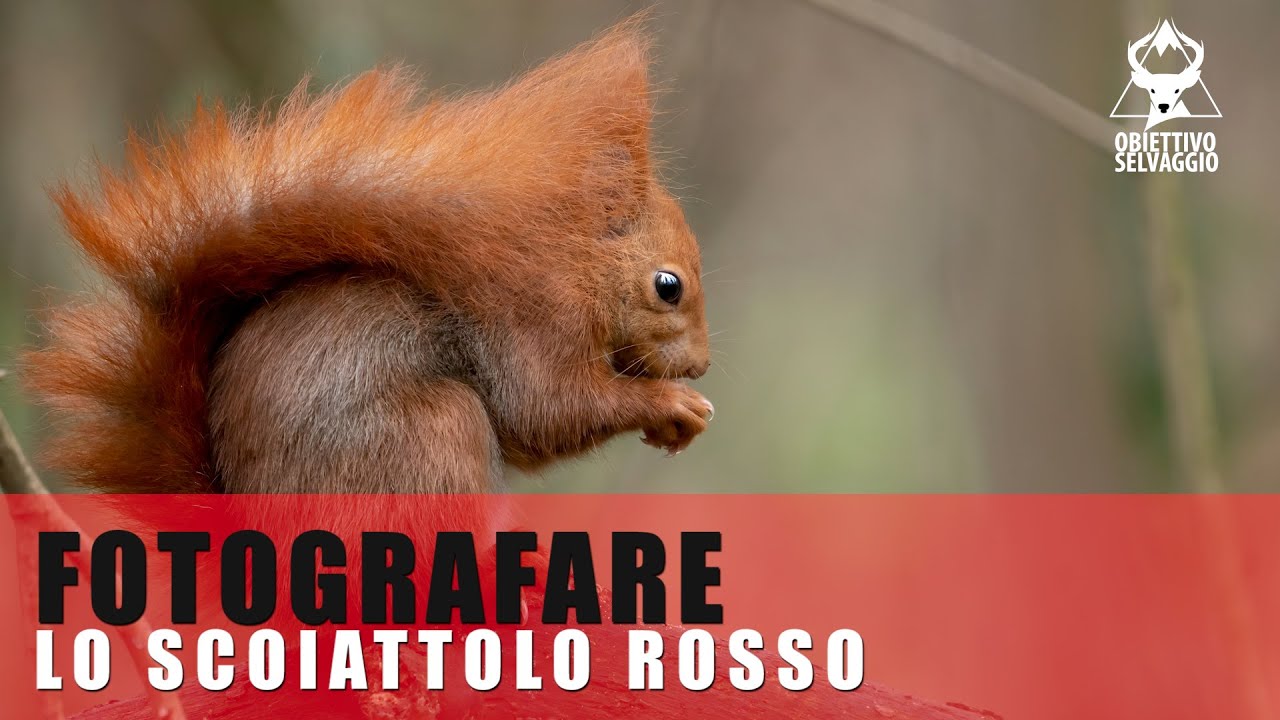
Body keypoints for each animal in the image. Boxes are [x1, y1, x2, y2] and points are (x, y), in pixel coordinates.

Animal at [23, 19, 714, 496]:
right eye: (668, 286)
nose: (701, 367)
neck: (575, 262)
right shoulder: (531, 318)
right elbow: (549, 409)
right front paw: (669, 404)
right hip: (432, 435)